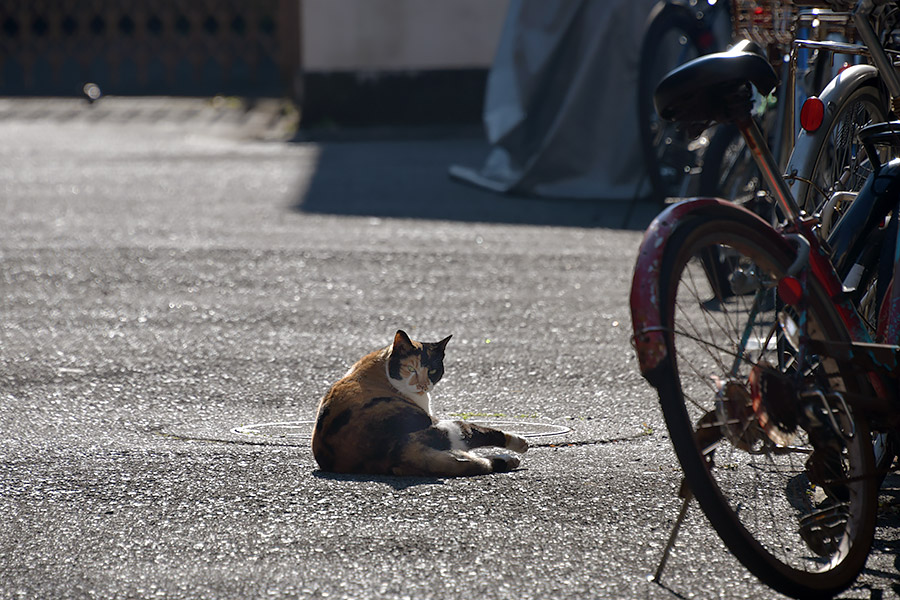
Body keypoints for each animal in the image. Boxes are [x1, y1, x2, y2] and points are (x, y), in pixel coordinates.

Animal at [314, 330, 528, 476]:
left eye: (432, 370)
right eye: (411, 369)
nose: (423, 385)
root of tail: (389, 452)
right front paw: (521, 443)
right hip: (444, 428)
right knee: (474, 436)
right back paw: (515, 450)